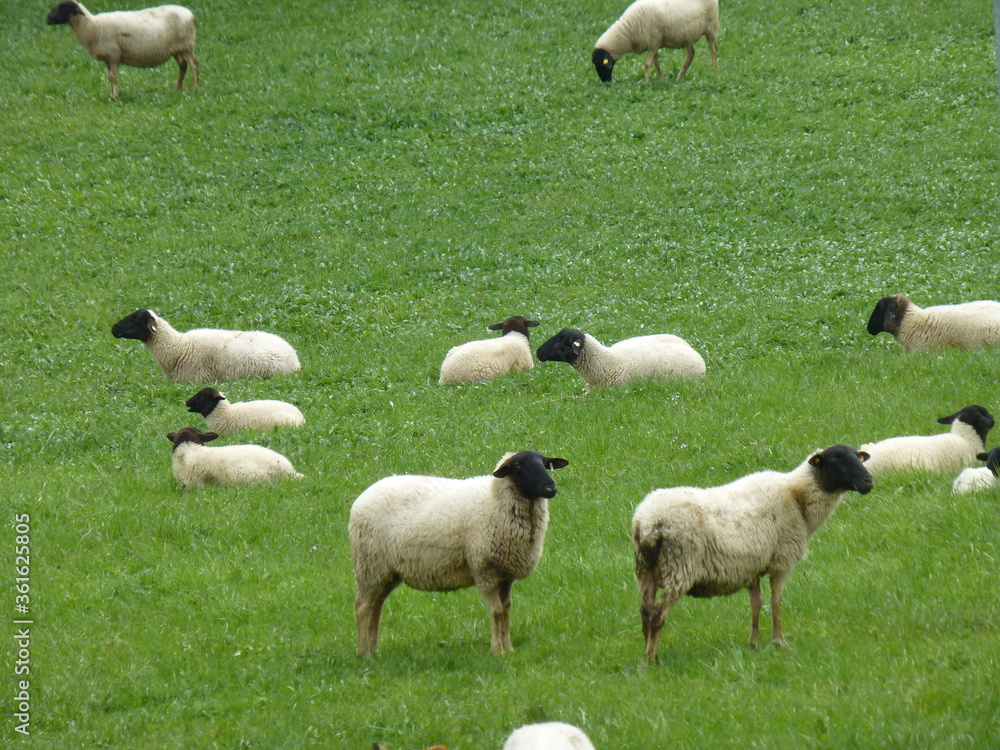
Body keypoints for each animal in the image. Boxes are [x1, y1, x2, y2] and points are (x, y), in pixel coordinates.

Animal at [46, 1, 198, 100]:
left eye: (63, 7)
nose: (47, 18)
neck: (92, 27)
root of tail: (190, 14)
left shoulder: (113, 55)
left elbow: (113, 76)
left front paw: (114, 97)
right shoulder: (107, 58)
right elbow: (109, 76)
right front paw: (112, 95)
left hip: (186, 45)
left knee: (194, 64)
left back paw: (196, 87)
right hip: (176, 48)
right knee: (183, 64)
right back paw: (178, 88)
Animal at [349, 451, 569, 656]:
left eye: (545, 463)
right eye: (519, 466)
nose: (550, 488)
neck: (495, 500)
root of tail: (362, 497)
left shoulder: (505, 576)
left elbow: (506, 609)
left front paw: (509, 648)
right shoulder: (485, 571)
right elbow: (497, 611)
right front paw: (497, 650)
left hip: (386, 571)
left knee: (376, 606)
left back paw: (374, 650)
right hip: (370, 564)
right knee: (362, 606)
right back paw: (363, 653)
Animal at [632, 444, 873, 663]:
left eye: (858, 457)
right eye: (835, 459)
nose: (868, 481)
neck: (797, 497)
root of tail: (648, 523)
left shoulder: (752, 566)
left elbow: (756, 603)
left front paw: (754, 643)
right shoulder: (781, 562)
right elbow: (776, 601)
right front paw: (779, 641)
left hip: (646, 570)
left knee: (646, 613)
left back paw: (647, 652)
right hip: (680, 565)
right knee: (658, 614)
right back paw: (651, 660)